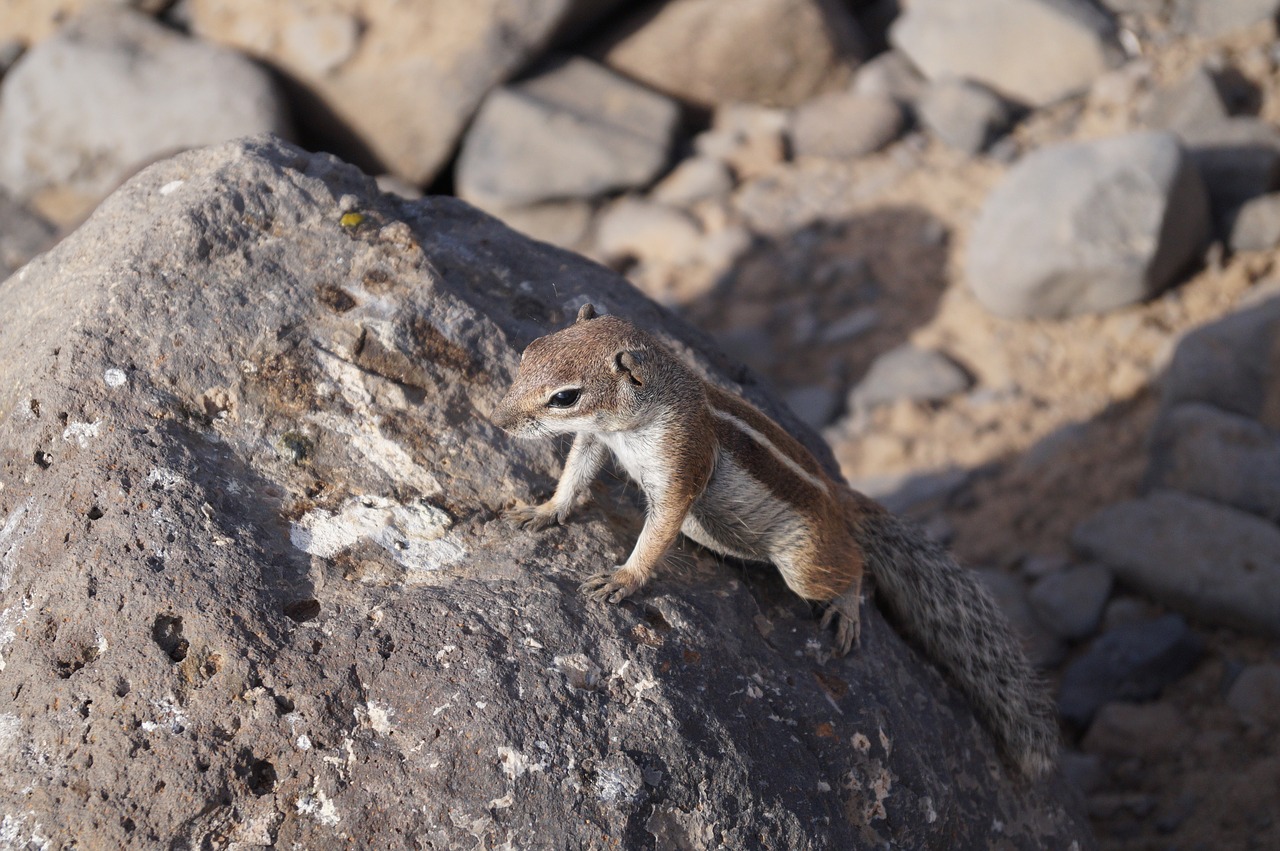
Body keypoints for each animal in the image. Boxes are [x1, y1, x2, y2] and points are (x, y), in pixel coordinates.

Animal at [494, 305, 1054, 778]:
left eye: (565, 397)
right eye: (530, 351)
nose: (500, 421)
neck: (644, 412)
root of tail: (838, 500)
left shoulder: (680, 465)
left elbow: (658, 529)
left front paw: (624, 577)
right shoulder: (595, 439)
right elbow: (575, 473)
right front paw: (543, 510)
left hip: (804, 563)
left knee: (854, 565)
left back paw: (846, 608)